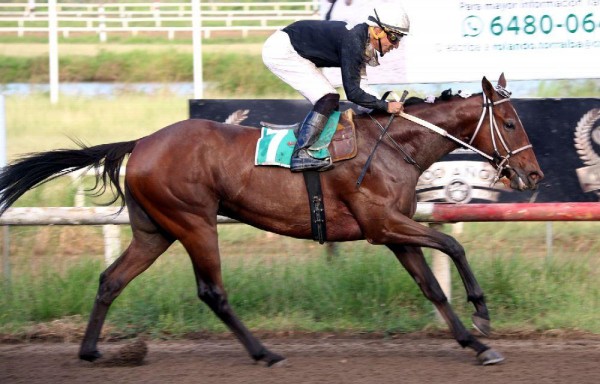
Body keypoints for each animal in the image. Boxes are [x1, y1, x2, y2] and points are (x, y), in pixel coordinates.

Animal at [0, 74, 544, 366]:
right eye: (510, 121)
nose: (534, 173)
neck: (393, 145)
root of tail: (142, 142)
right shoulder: (380, 226)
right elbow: (453, 246)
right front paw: (482, 314)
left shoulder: (393, 231)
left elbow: (431, 286)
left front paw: (475, 343)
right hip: (195, 222)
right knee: (212, 291)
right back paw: (264, 352)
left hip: (155, 231)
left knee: (111, 280)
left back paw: (92, 352)